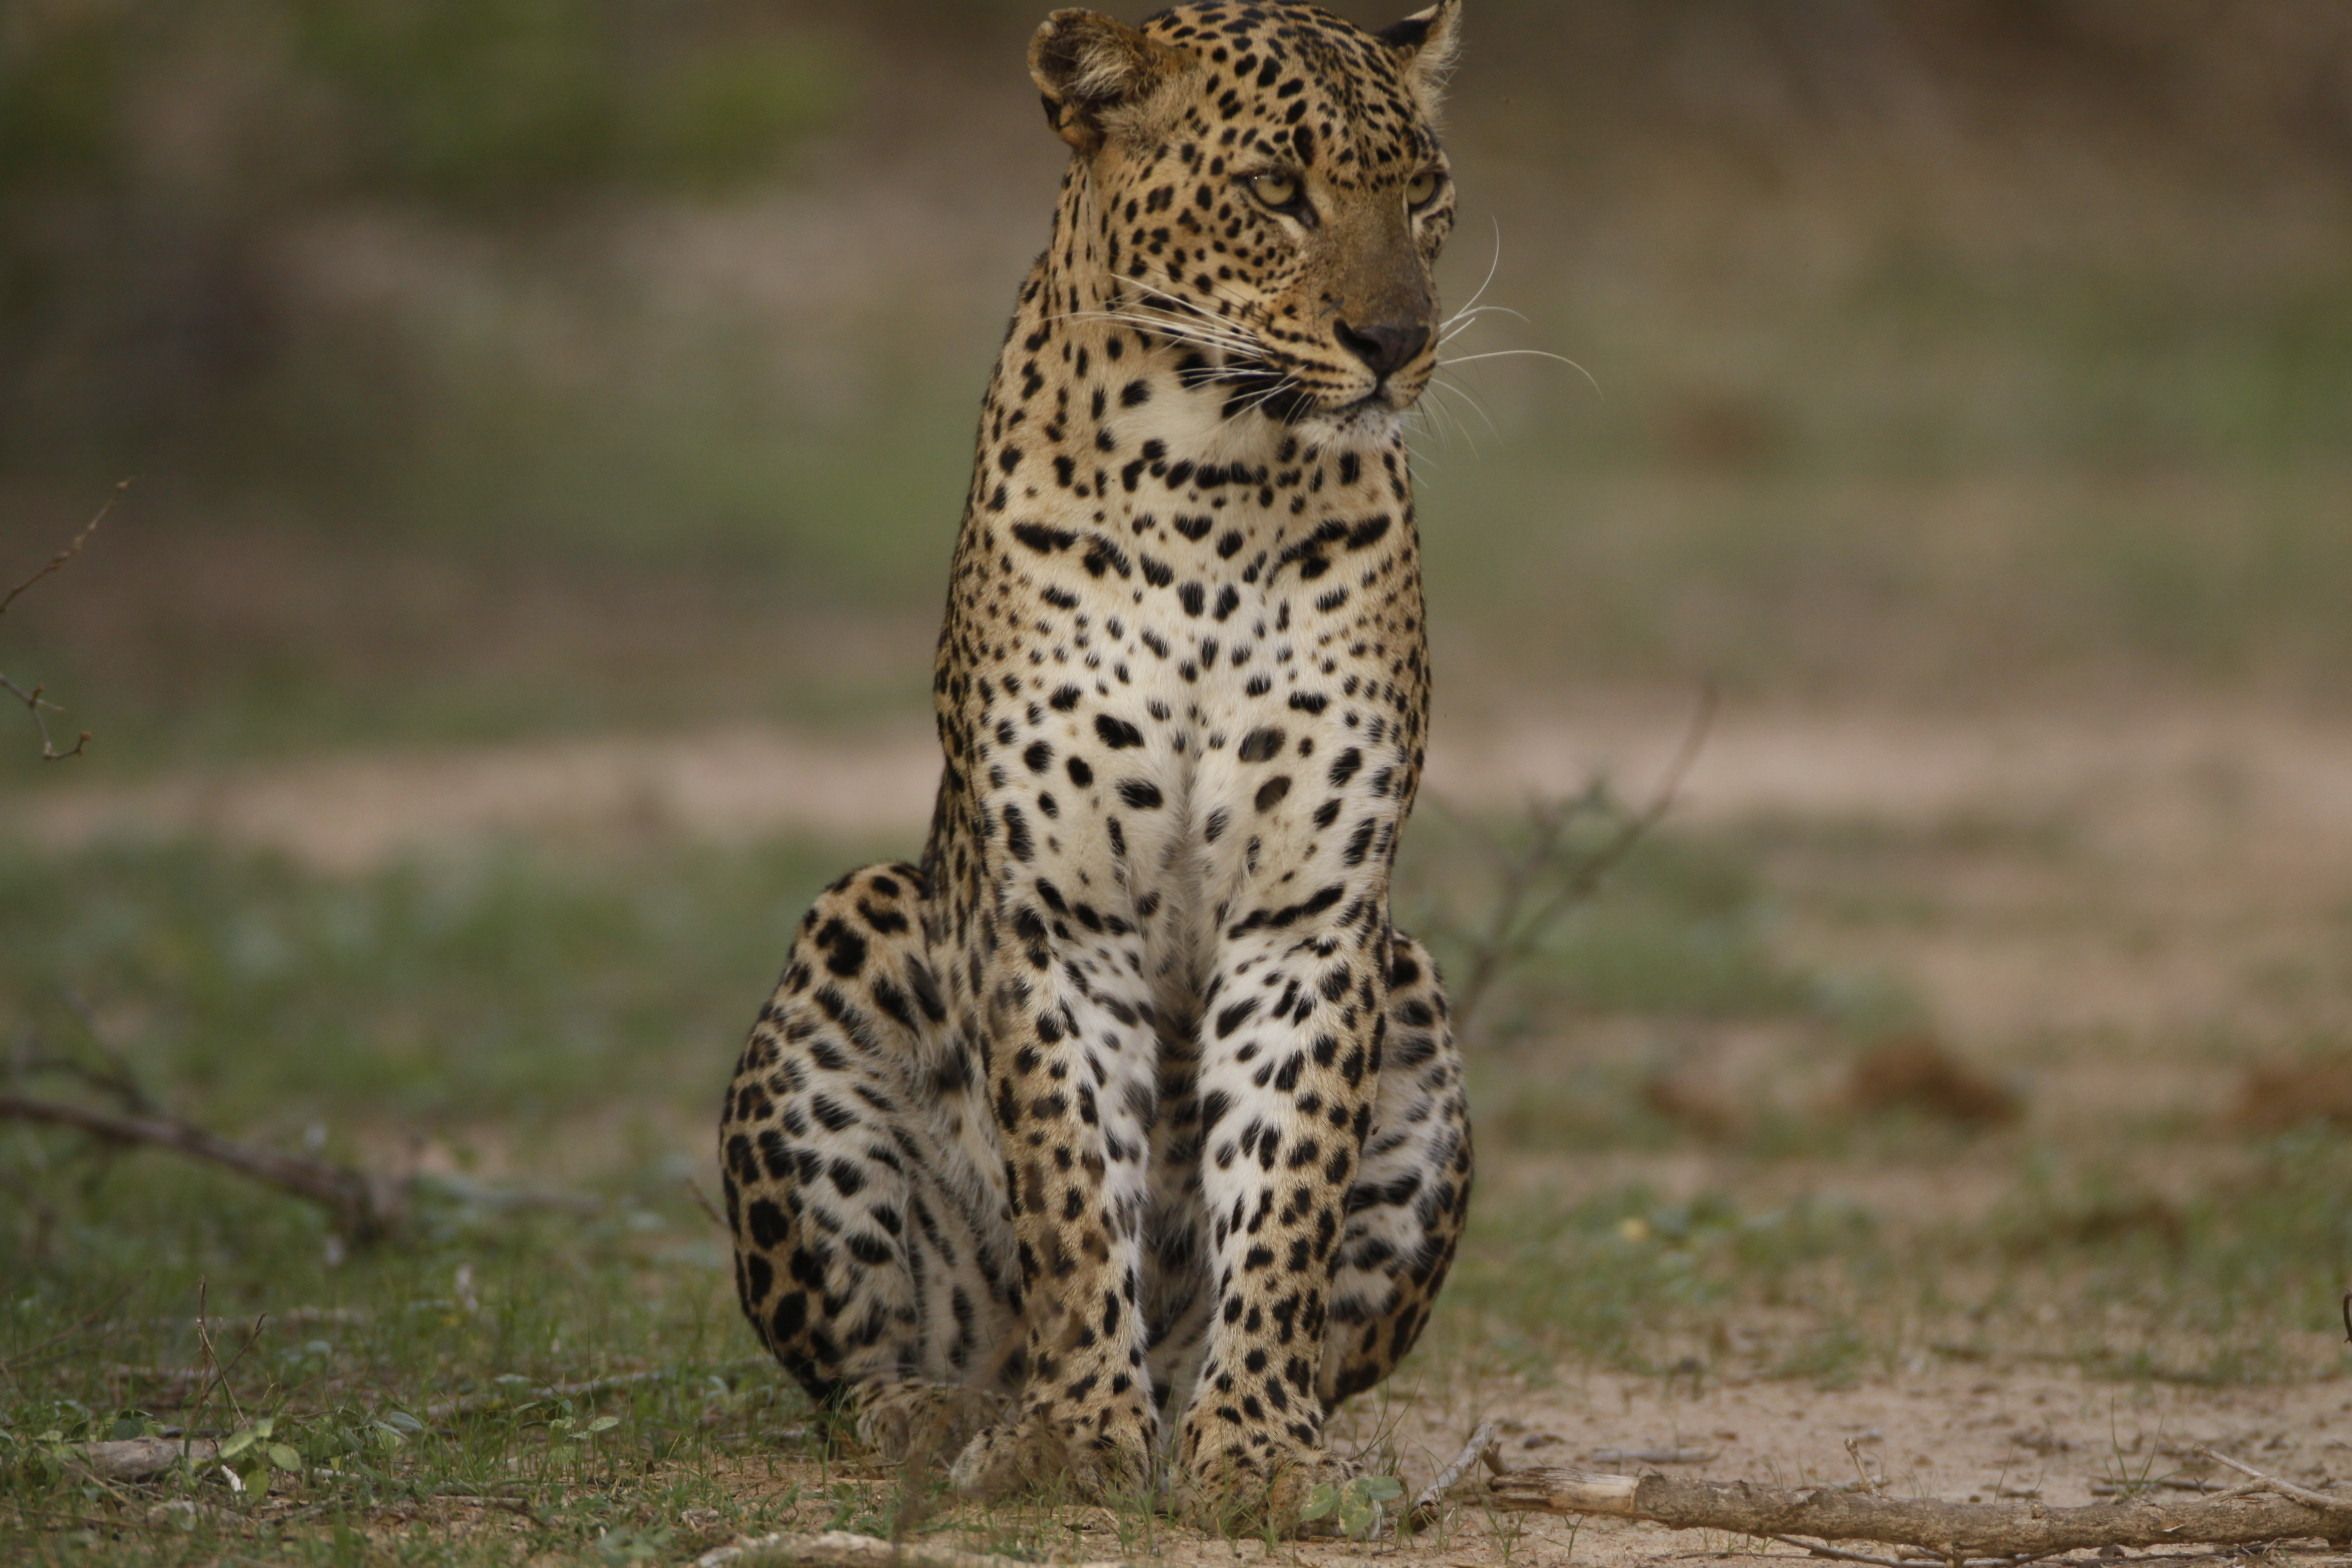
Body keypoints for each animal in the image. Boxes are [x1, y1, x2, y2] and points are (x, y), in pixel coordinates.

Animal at [719, 0, 1475, 1533]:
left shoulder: (1312, 915)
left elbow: (1286, 1185)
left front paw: (1262, 1447)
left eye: (1424, 195)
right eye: (1277, 190)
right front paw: (1071, 1435)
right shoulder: (1054, 908)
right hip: (857, 926)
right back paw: (939, 1413)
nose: (1397, 341)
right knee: (864, 1363)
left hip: (1417, 990)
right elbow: (1072, 1187)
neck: (1216, 488)